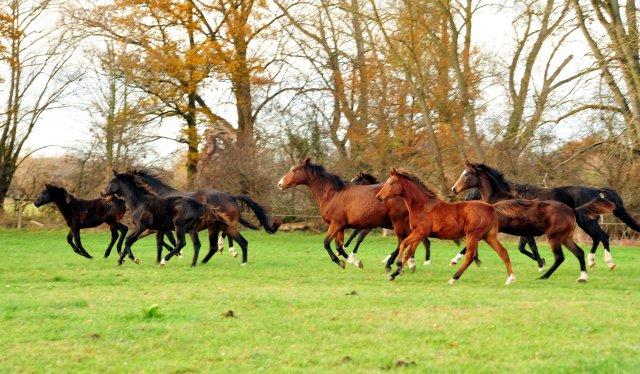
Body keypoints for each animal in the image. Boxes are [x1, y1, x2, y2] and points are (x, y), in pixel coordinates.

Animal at [100, 171, 230, 268]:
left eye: (111, 181)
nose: (102, 194)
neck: (139, 202)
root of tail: (200, 205)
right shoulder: (146, 228)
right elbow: (132, 241)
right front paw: (120, 260)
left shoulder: (142, 226)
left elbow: (128, 240)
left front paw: (134, 259)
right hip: (192, 228)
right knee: (197, 244)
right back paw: (193, 264)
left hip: (180, 226)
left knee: (182, 242)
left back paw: (164, 261)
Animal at [130, 171, 280, 264]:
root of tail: (230, 195)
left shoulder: (163, 228)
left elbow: (162, 243)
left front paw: (164, 259)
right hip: (225, 225)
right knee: (235, 238)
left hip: (214, 227)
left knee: (214, 245)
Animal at [276, 157, 420, 268]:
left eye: (294, 170)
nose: (280, 184)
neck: (331, 194)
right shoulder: (340, 227)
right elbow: (339, 246)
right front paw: (353, 261)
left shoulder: (336, 224)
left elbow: (327, 243)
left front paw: (344, 262)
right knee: (409, 241)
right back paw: (410, 263)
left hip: (398, 222)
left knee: (402, 241)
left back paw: (391, 263)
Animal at [376, 169, 536, 284]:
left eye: (391, 183)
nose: (378, 197)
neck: (423, 206)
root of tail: (491, 206)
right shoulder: (418, 233)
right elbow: (409, 252)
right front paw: (395, 273)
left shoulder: (420, 232)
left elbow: (403, 244)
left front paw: (397, 267)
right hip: (488, 236)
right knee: (503, 252)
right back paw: (510, 279)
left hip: (473, 234)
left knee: (471, 255)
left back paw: (453, 278)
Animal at [450, 162, 616, 282]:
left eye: (466, 174)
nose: (454, 189)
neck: (498, 200)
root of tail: (572, 210)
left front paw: (456, 260)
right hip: (567, 236)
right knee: (581, 251)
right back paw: (583, 276)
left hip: (557, 236)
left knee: (565, 254)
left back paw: (545, 276)